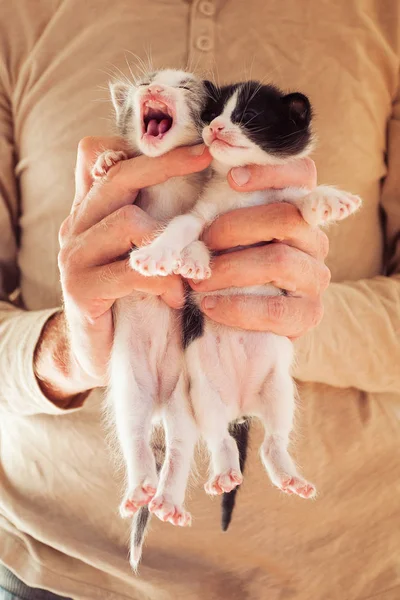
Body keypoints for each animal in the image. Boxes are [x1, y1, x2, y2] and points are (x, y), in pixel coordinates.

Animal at [131, 81, 362, 528]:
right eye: (212, 113)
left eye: (248, 117)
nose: (216, 128)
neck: (244, 190)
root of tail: (240, 407)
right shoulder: (202, 213)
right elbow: (185, 226)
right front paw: (166, 254)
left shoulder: (284, 204)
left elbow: (301, 204)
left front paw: (327, 199)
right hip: (205, 395)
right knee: (220, 438)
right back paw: (224, 472)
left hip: (279, 391)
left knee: (273, 440)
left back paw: (289, 476)